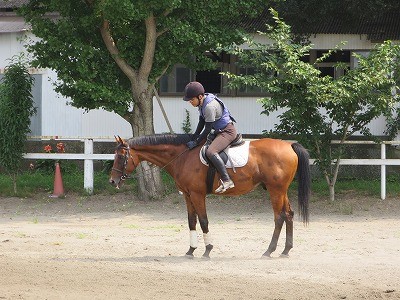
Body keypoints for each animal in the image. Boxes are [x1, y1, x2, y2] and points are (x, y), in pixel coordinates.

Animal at [108, 134, 310, 258]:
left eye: (121, 157)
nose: (112, 181)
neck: (182, 156)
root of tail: (289, 145)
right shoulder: (187, 195)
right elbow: (191, 221)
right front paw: (191, 250)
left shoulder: (197, 194)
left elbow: (203, 220)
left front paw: (207, 250)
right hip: (281, 190)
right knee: (289, 215)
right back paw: (285, 250)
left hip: (276, 190)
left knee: (279, 217)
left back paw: (269, 250)